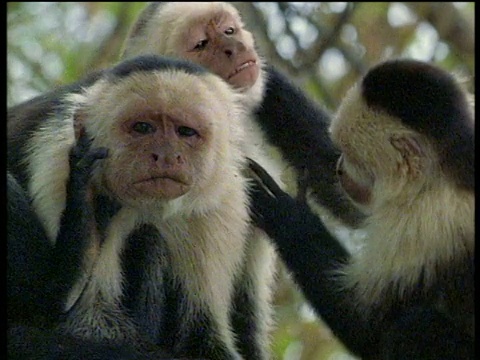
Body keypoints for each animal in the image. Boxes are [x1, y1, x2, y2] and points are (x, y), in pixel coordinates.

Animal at [6, 54, 274, 360]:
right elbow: (80, 320)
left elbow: (204, 337)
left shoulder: (222, 198)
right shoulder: (59, 163)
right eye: (143, 127)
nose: (166, 156)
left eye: (186, 132)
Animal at [249, 59, 474, 360]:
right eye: (342, 152)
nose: (340, 168)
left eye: (354, 159)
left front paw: (283, 213)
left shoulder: (427, 225)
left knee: (416, 327)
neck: (448, 169)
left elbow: (364, 325)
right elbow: (333, 184)